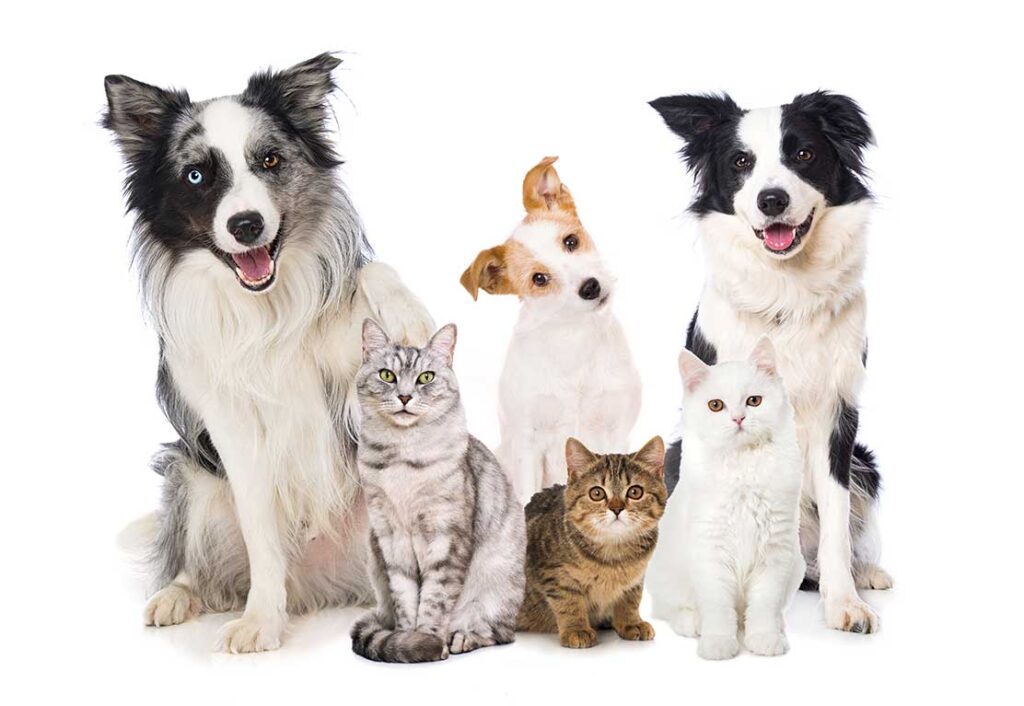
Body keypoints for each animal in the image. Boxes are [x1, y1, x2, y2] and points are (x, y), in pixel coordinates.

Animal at [352, 319, 528, 659]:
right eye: (387, 375)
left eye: (426, 377)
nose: (405, 396)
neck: (403, 458)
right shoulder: (390, 538)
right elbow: (406, 599)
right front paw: (408, 639)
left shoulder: (446, 537)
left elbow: (435, 599)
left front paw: (430, 639)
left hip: (496, 586)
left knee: (498, 633)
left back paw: (461, 638)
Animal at [516, 438, 667, 647]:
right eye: (597, 493)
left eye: (635, 492)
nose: (617, 508)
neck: (614, 553)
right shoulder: (555, 575)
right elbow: (569, 602)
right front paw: (576, 629)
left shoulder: (636, 578)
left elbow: (630, 600)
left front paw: (631, 622)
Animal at [647, 336, 806, 655]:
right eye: (715, 405)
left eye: (754, 401)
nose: (738, 419)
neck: (743, 465)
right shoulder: (711, 550)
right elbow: (719, 608)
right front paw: (718, 644)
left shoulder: (775, 551)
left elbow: (764, 606)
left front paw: (764, 639)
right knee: (671, 609)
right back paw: (692, 624)